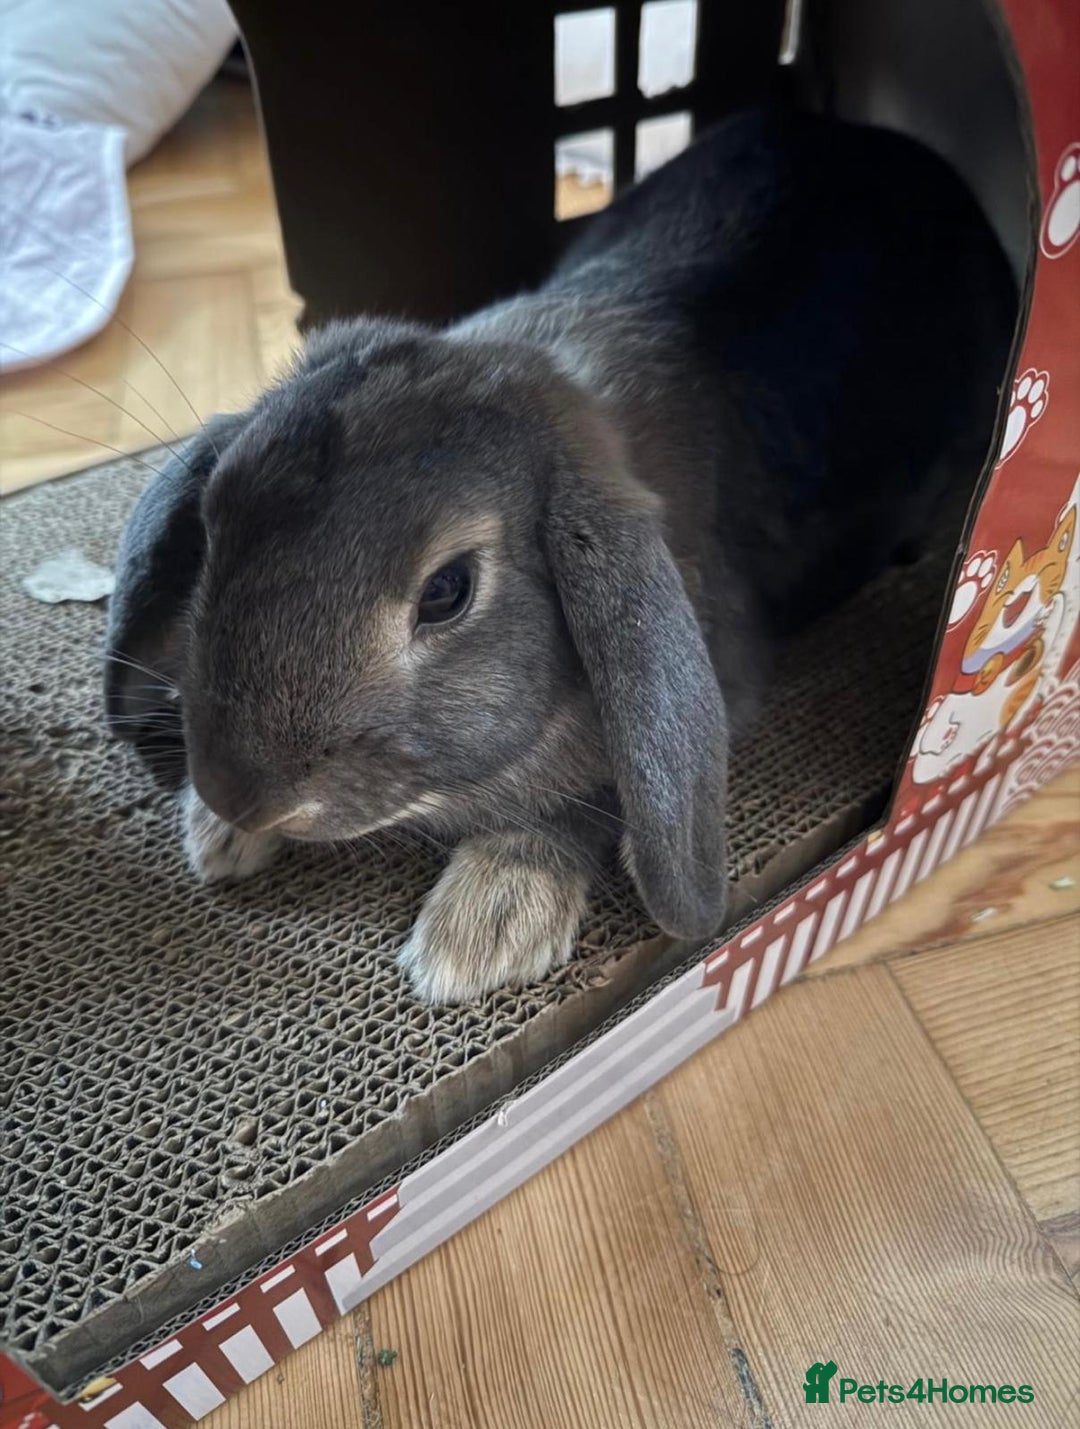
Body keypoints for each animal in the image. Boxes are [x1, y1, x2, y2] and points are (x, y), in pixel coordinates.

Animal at [105, 107, 1015, 1003]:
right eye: (216, 519)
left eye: (448, 591)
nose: (238, 791)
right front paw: (213, 835)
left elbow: (601, 797)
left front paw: (485, 924)